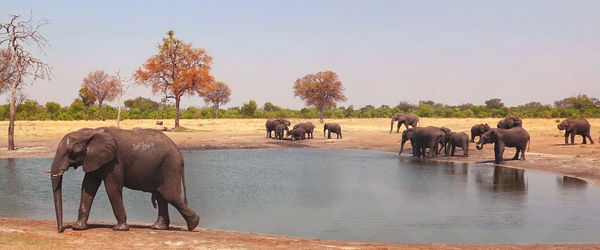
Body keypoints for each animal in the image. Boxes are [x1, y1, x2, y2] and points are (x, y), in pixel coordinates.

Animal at [49, 128, 199, 233]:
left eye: (70, 152)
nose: (61, 230)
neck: (89, 132)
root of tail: (180, 154)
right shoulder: (93, 159)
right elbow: (87, 188)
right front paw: (78, 228)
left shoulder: (115, 161)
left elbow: (112, 188)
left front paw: (119, 229)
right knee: (163, 197)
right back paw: (158, 227)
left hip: (170, 167)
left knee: (170, 196)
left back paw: (193, 225)